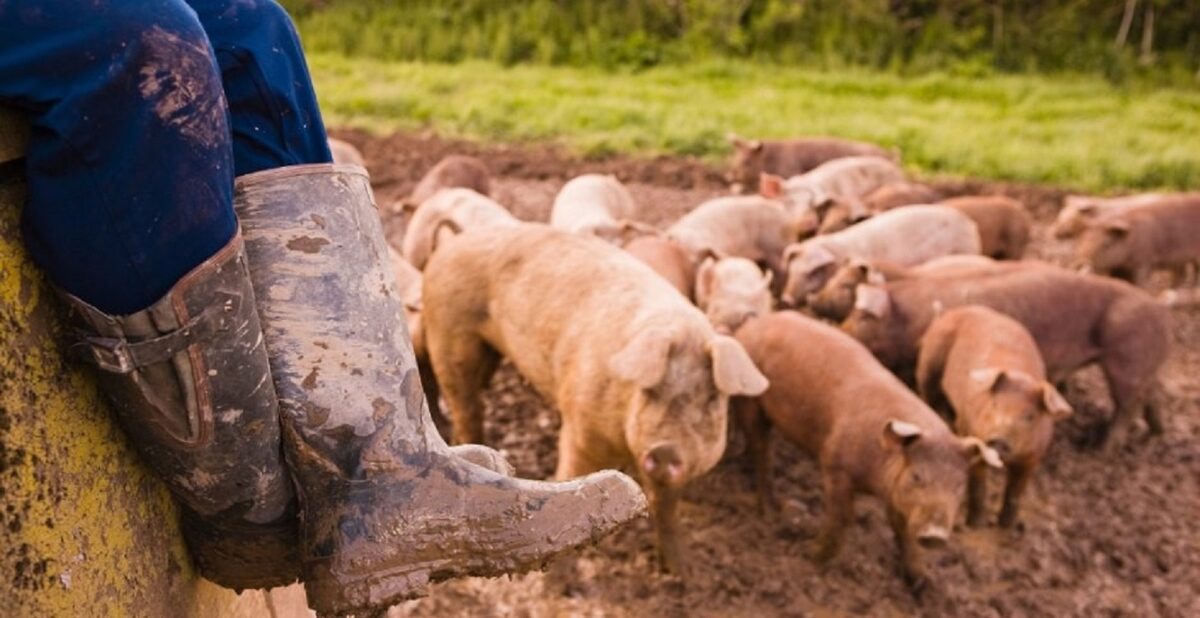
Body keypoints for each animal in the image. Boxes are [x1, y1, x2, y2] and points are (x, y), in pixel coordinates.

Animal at [422, 224, 769, 573]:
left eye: (711, 399)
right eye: (651, 391)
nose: (666, 450)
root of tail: (453, 242)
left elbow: (666, 509)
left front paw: (684, 573)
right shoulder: (580, 432)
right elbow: (570, 485)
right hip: (449, 332)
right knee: (466, 404)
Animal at [733, 312, 1002, 591]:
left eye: (959, 485)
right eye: (917, 476)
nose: (935, 535)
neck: (875, 479)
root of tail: (754, 323)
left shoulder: (896, 493)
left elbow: (903, 530)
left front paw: (922, 583)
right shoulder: (835, 464)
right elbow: (842, 517)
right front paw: (810, 556)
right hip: (749, 398)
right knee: (761, 447)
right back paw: (769, 511)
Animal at [841, 265, 1170, 451]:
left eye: (863, 316)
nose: (840, 330)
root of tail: (1158, 308)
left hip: (1128, 359)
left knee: (1127, 408)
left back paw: (1097, 449)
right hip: (1144, 364)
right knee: (1152, 396)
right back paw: (1154, 434)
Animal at [916, 306, 1073, 528]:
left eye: (1030, 416)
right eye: (995, 404)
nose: (998, 438)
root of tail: (959, 309)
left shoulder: (1033, 458)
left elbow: (1015, 494)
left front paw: (1006, 527)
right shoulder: (974, 435)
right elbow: (977, 487)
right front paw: (974, 526)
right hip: (929, 361)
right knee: (928, 393)